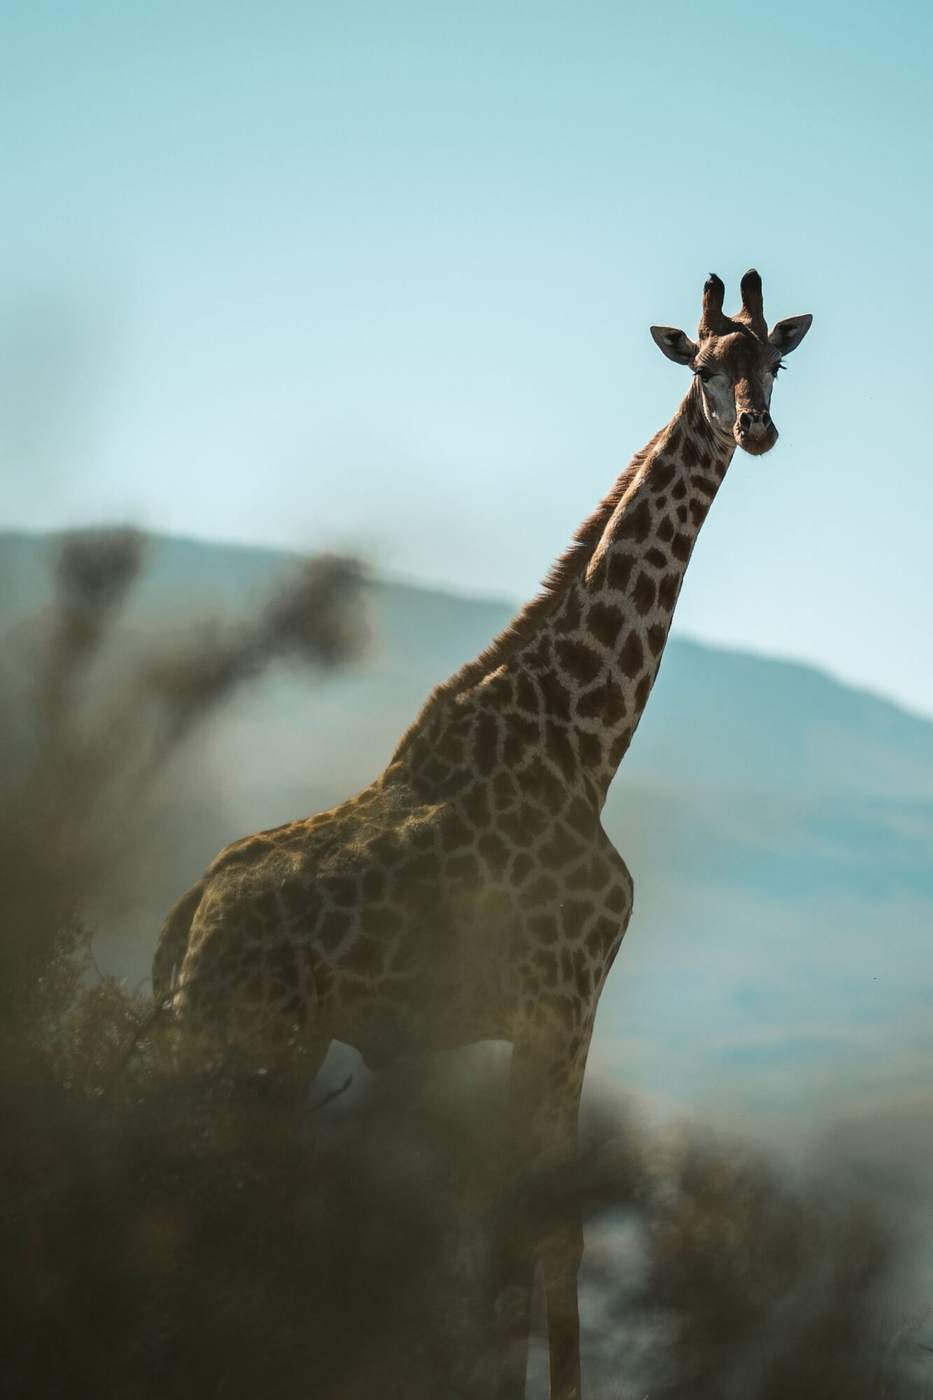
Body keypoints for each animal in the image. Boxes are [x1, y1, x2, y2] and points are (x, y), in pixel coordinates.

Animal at [153, 270, 812, 1400]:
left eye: (774, 359)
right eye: (702, 366)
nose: (756, 429)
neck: (583, 741)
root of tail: (189, 909)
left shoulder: (532, 1015)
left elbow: (514, 1236)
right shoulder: (565, 998)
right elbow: (551, 1232)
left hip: (277, 1042)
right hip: (244, 1034)